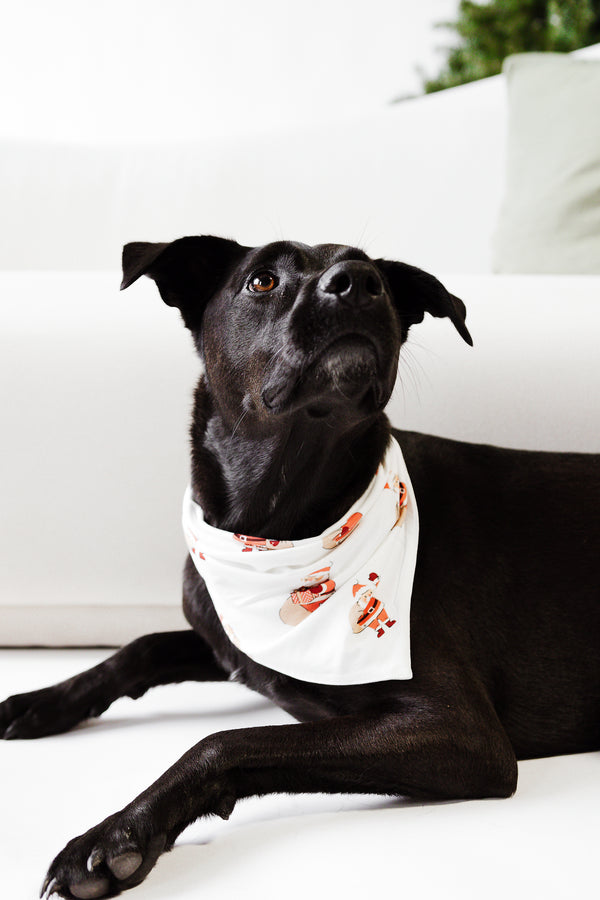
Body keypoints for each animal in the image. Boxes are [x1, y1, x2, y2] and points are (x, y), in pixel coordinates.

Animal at [1, 239, 600, 900]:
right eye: (262, 280)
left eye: (380, 282)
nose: (358, 283)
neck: (281, 525)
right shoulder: (232, 640)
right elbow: (142, 645)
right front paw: (39, 701)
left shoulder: (464, 731)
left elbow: (226, 741)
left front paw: (118, 834)